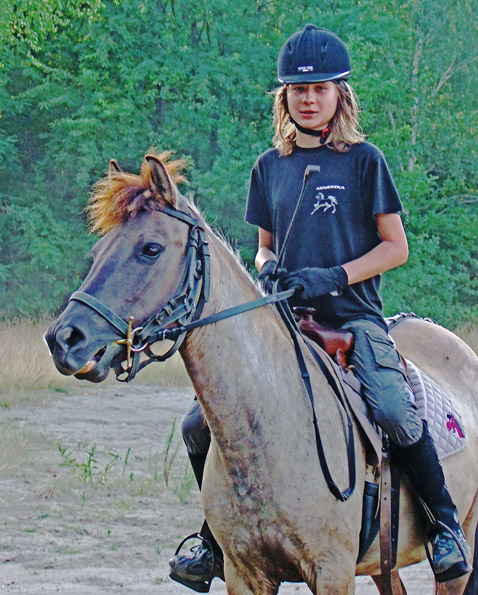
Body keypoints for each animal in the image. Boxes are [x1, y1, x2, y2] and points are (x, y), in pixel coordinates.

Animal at [45, 151, 478, 592]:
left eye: (150, 248)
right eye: (100, 248)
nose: (64, 338)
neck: (271, 422)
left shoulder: (333, 571)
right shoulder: (244, 574)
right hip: (382, 566)